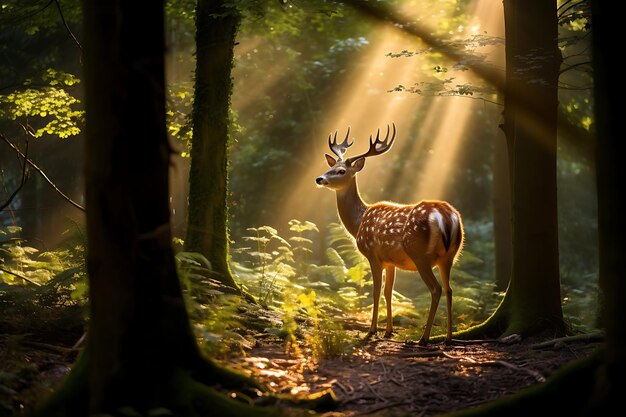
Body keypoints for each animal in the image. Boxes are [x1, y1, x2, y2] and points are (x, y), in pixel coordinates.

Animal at [314, 123, 460, 344]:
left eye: (341, 171)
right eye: (328, 167)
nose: (319, 178)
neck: (358, 222)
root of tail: (447, 217)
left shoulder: (373, 255)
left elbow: (375, 291)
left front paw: (371, 331)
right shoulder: (391, 261)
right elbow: (388, 291)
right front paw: (388, 331)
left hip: (420, 254)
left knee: (436, 289)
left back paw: (423, 338)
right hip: (449, 256)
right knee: (450, 289)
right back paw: (448, 337)